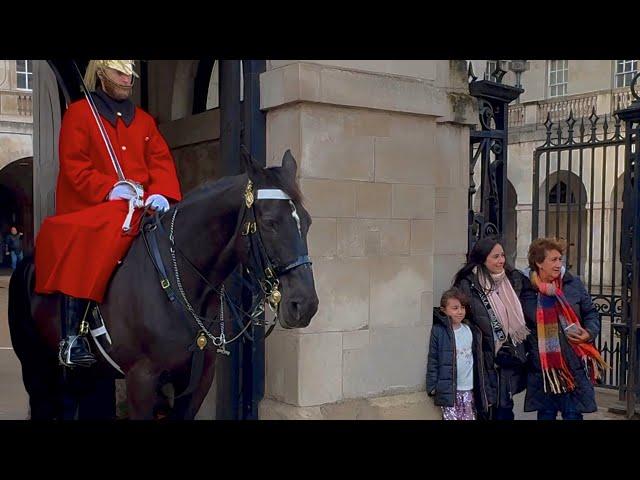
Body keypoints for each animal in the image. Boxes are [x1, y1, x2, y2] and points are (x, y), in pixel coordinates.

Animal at [8, 150, 318, 420]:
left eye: (307, 221)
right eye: (269, 222)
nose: (305, 305)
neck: (182, 288)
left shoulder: (196, 385)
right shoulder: (142, 381)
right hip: (34, 368)